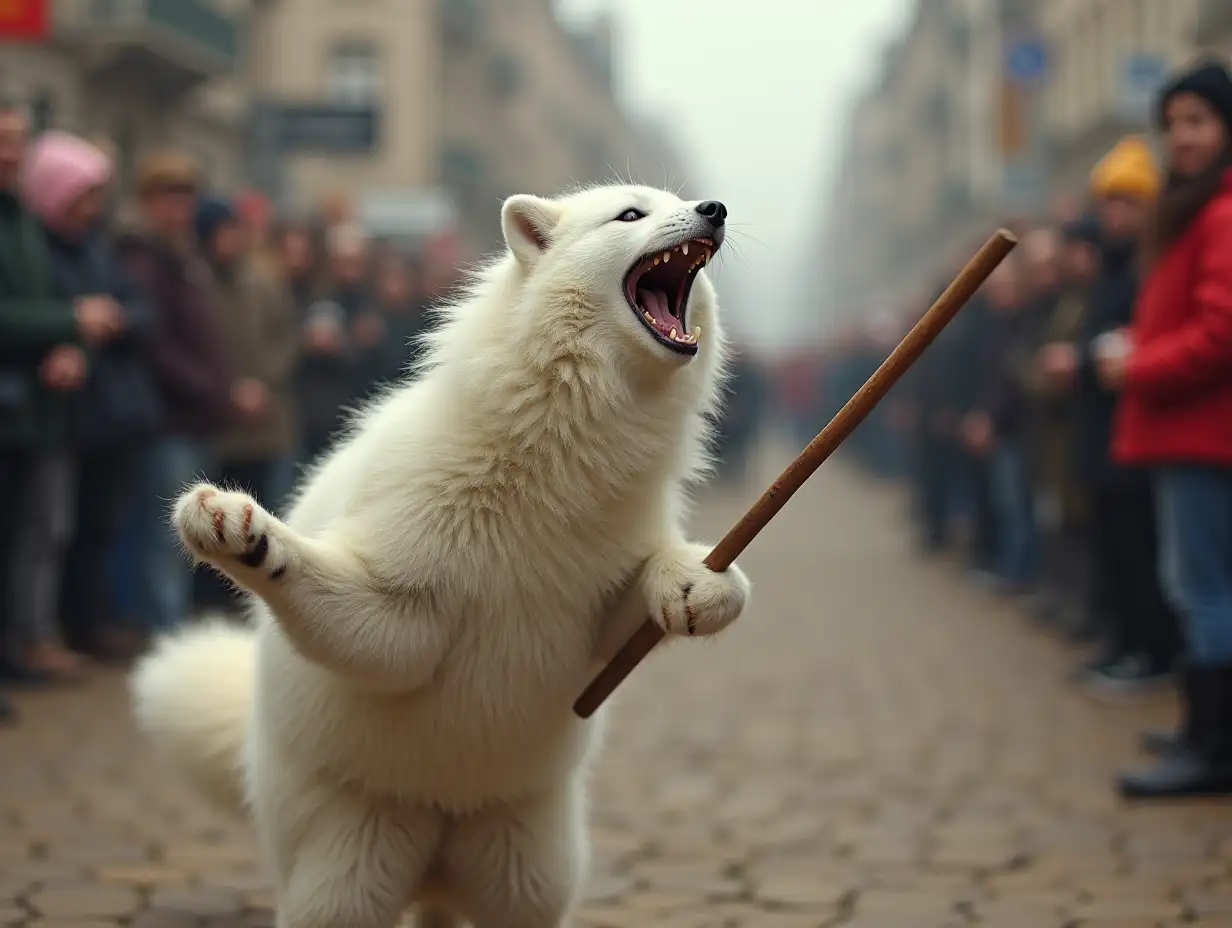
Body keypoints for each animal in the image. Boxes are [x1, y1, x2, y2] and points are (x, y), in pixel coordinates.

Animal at [132, 186, 749, 926]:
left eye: (675, 200)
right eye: (630, 214)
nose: (714, 208)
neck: (551, 463)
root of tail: (437, 847)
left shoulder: (597, 619)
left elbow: (659, 585)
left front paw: (702, 587)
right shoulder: (405, 612)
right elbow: (344, 607)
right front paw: (240, 533)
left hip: (528, 872)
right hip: (348, 870)